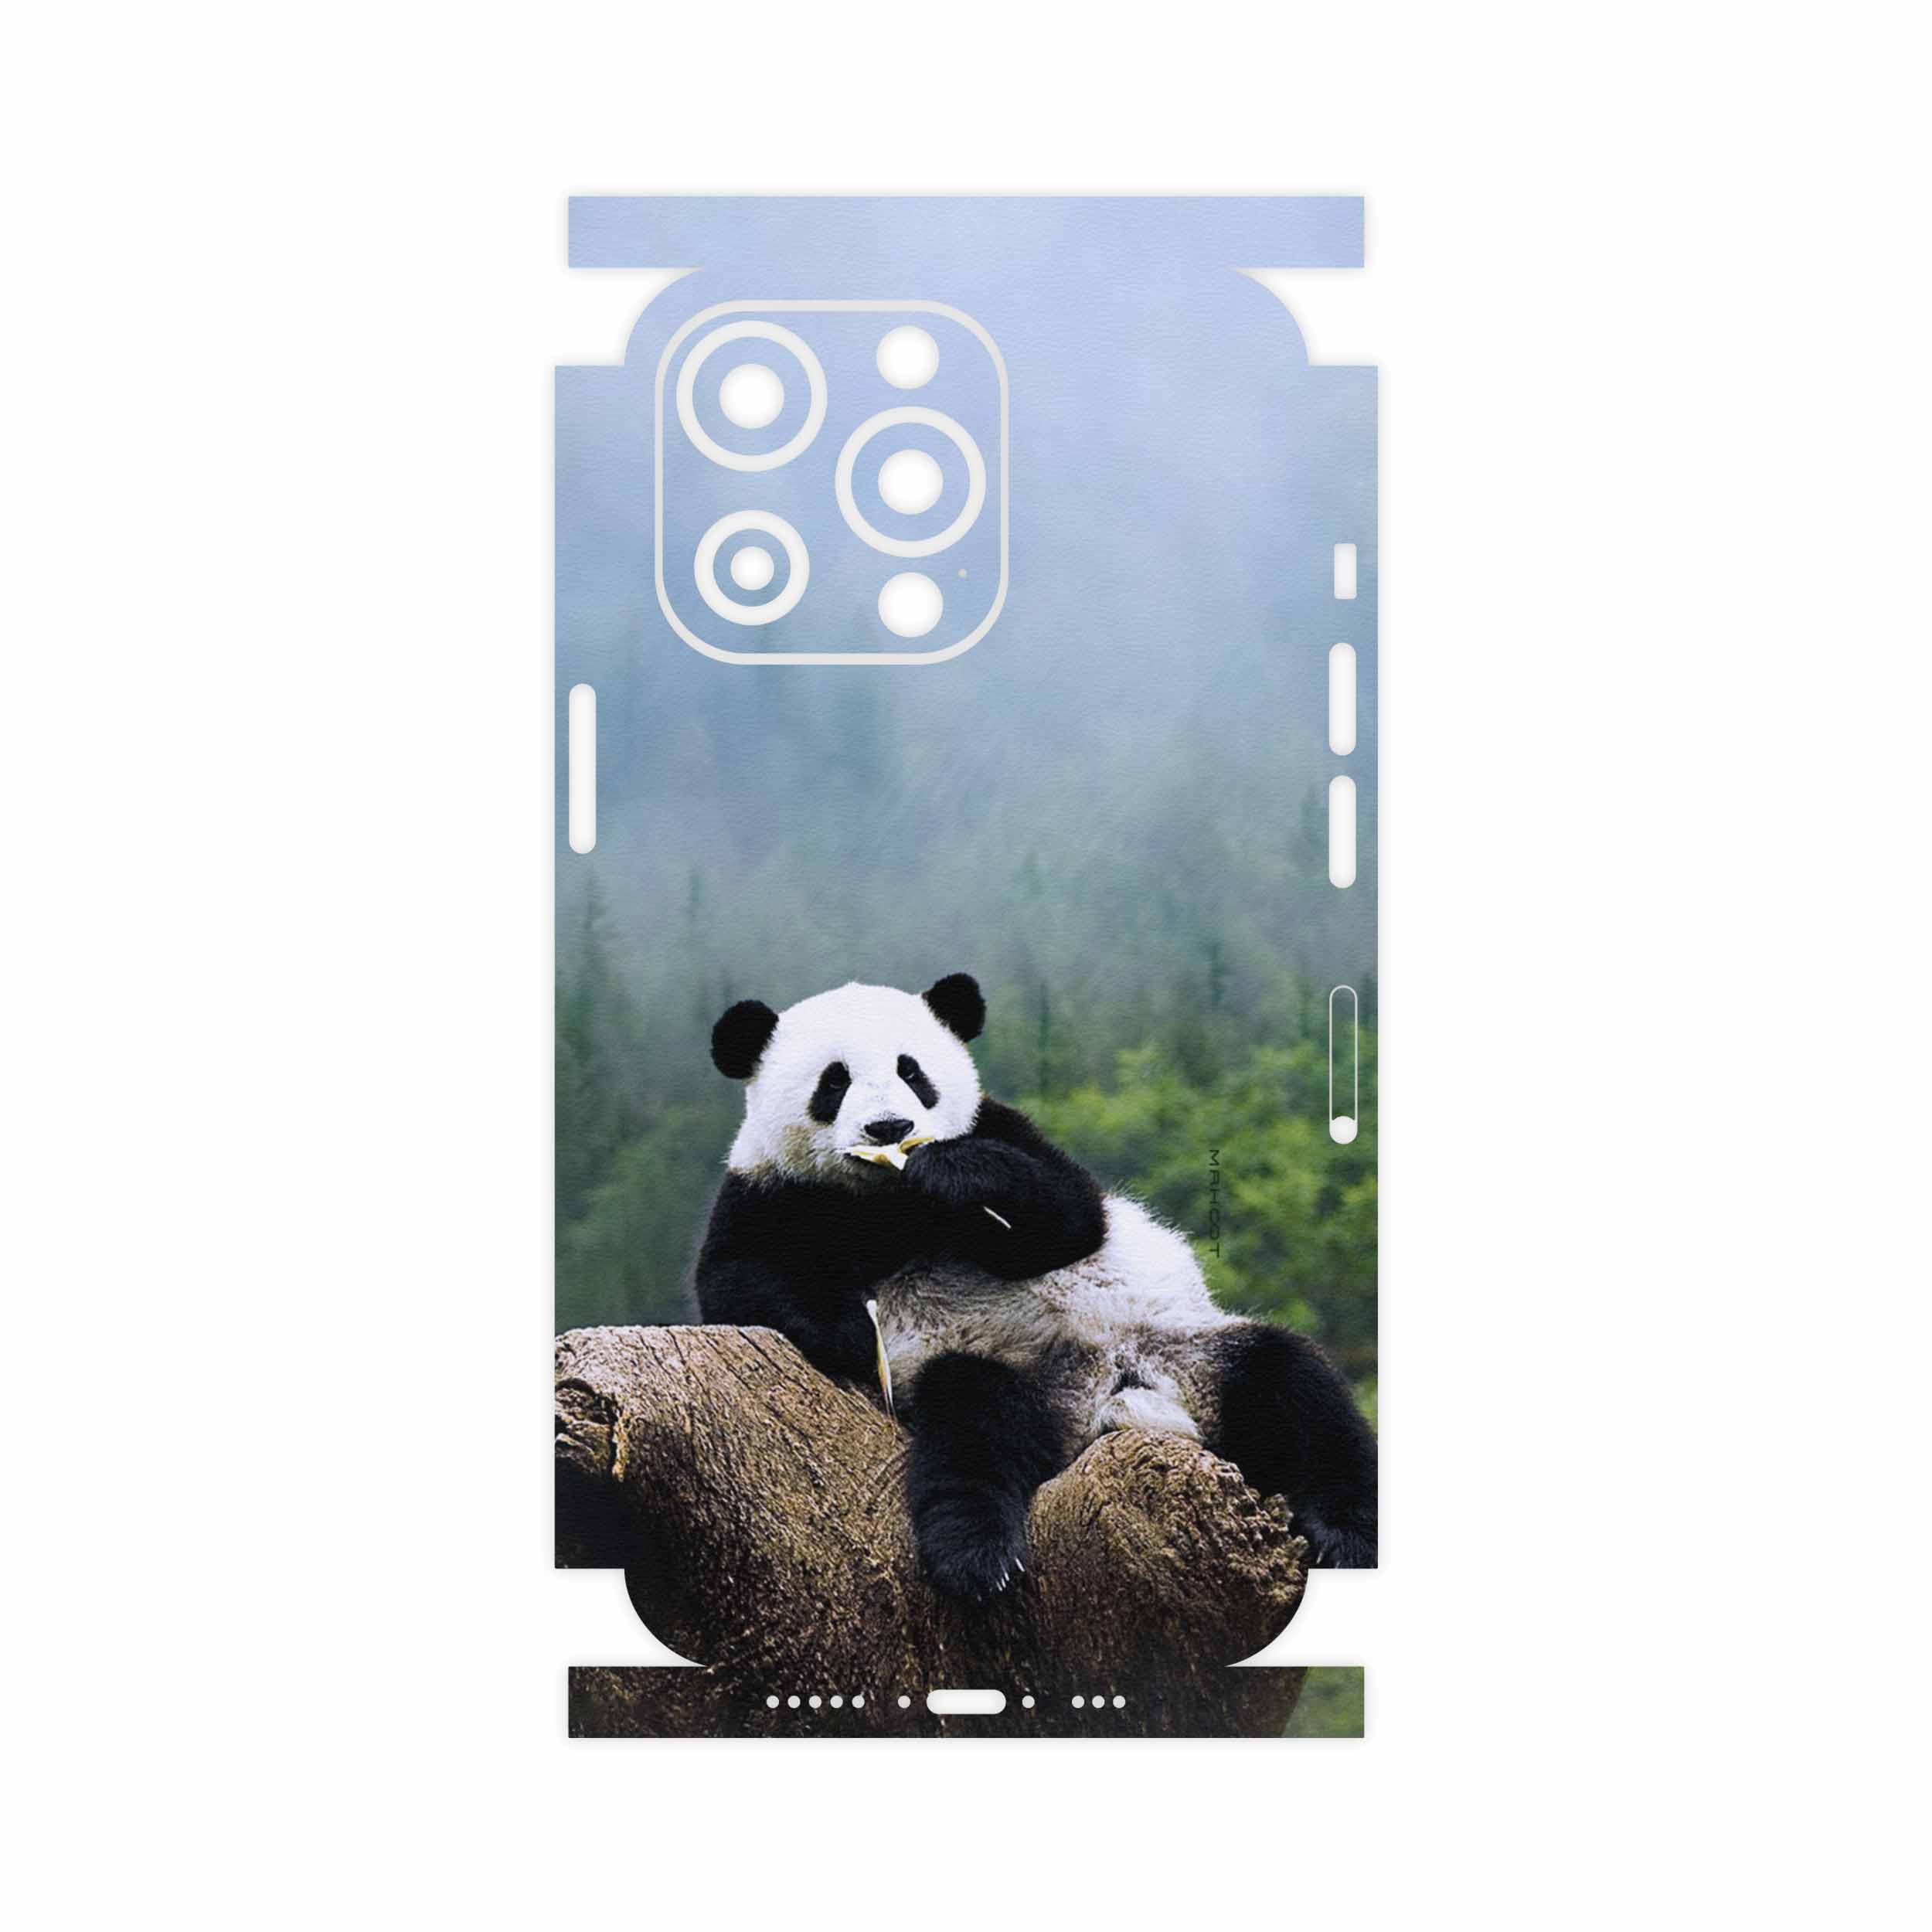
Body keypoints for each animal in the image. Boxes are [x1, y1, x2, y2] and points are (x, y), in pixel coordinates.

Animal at [695, 972, 1377, 1598]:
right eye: (833, 1082)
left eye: (912, 1072)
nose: (890, 1128)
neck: (888, 1201)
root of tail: (1111, 1398)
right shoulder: (768, 1191)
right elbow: (738, 1282)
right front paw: (855, 1334)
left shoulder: (1002, 1128)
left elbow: (1070, 1216)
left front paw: (954, 1173)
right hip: (1009, 1375)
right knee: (973, 1428)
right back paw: (980, 1557)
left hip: (1190, 1350)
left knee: (1297, 1389)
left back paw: (1347, 1534)